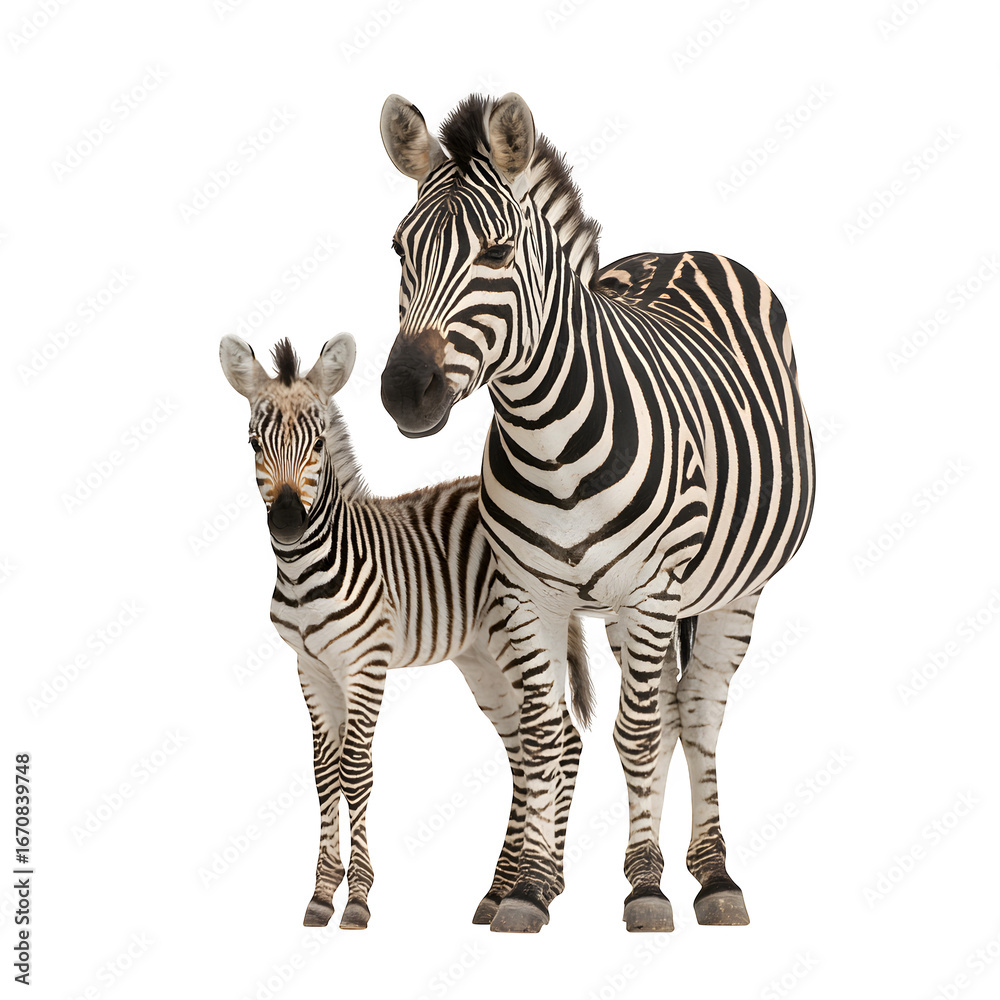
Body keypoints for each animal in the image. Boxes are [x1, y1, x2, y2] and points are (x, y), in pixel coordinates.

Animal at [219, 332, 592, 929]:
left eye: (318, 443)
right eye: (254, 442)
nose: (287, 524)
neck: (305, 573)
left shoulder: (365, 665)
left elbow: (355, 770)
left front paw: (358, 899)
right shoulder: (310, 669)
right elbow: (323, 773)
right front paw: (320, 894)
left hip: (515, 644)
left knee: (560, 740)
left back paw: (542, 883)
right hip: (483, 661)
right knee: (525, 749)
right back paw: (502, 891)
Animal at [378, 93, 815, 933]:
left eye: (497, 251)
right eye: (398, 248)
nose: (405, 392)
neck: (549, 440)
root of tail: (684, 250)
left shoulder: (652, 590)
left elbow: (639, 734)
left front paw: (645, 892)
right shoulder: (530, 596)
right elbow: (547, 734)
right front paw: (527, 890)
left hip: (728, 589)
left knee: (694, 712)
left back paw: (713, 878)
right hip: (622, 609)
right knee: (670, 710)